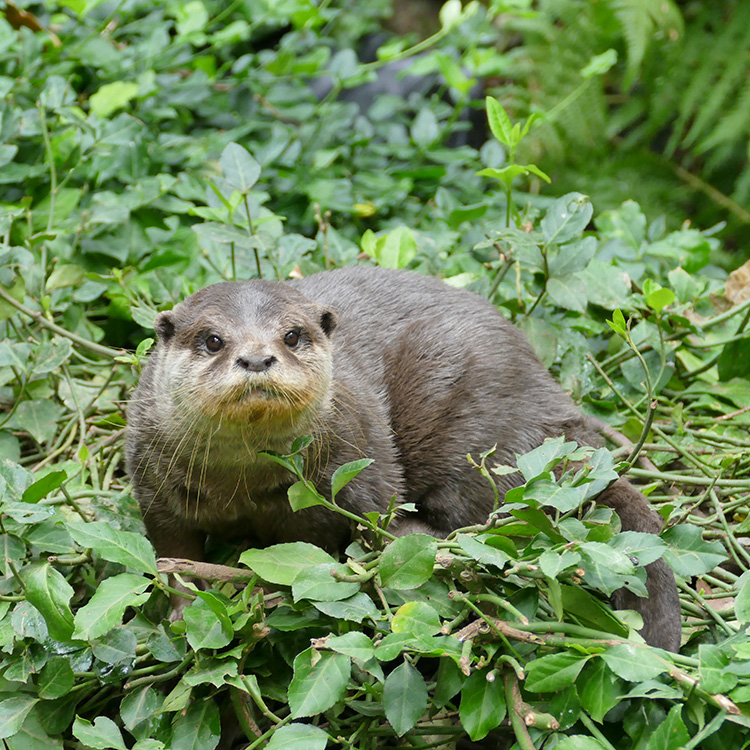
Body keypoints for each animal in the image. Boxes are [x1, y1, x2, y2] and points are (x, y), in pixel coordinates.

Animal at [128, 266, 680, 652]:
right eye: (212, 340)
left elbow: (357, 528)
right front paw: (183, 614)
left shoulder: (354, 467)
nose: (257, 357)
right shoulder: (153, 484)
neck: (244, 484)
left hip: (471, 429)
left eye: (291, 335)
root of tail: (552, 412)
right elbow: (171, 553)